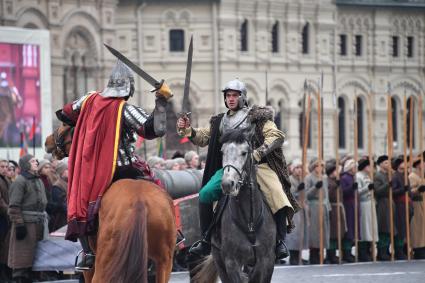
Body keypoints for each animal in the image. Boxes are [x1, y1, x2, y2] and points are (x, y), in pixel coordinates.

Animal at [46, 126, 177, 283]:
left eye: (64, 127)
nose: (47, 142)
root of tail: (139, 200)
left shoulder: (89, 271)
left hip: (104, 264)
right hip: (164, 262)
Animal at [193, 129, 274, 283]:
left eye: (244, 152)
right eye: (222, 152)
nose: (227, 184)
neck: (249, 222)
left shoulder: (266, 261)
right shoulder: (231, 263)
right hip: (219, 260)